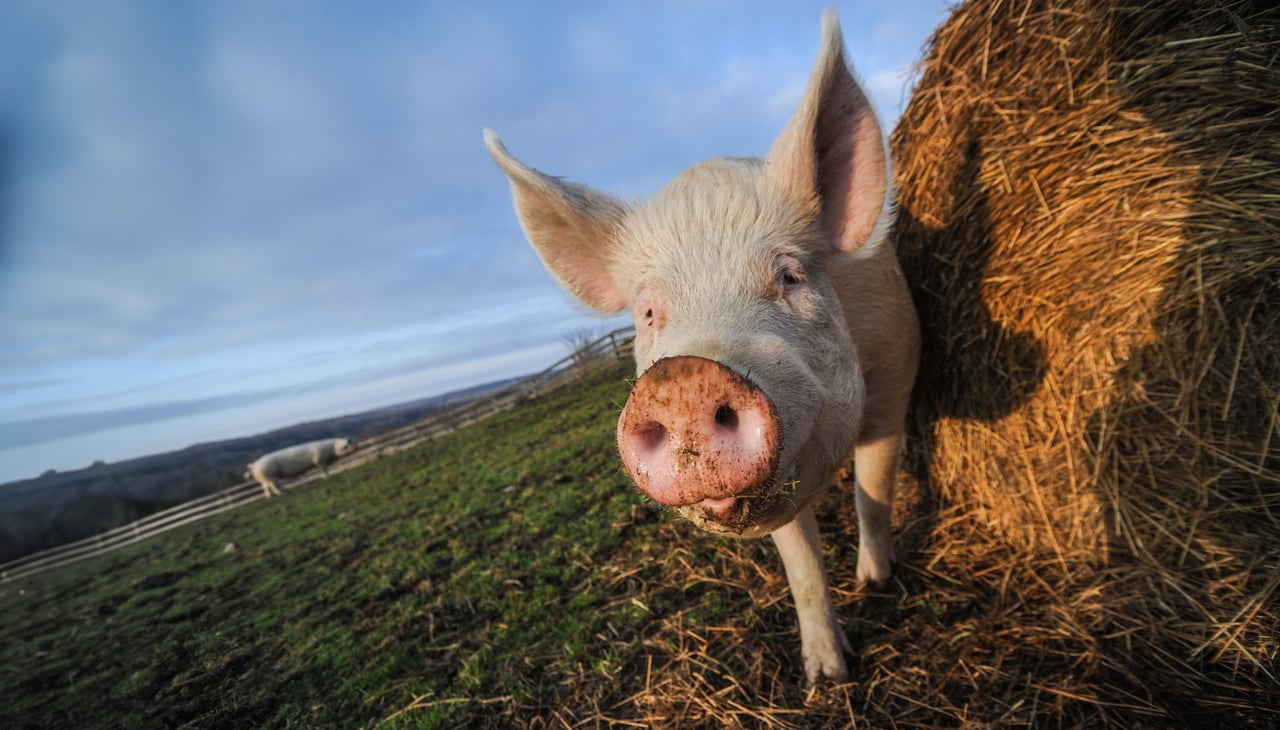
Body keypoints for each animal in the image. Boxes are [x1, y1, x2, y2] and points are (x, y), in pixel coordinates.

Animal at [481, 9, 921, 681]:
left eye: (790, 276)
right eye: (647, 313)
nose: (684, 379)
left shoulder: (895, 378)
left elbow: (874, 493)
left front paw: (876, 583)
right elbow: (800, 563)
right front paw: (826, 676)